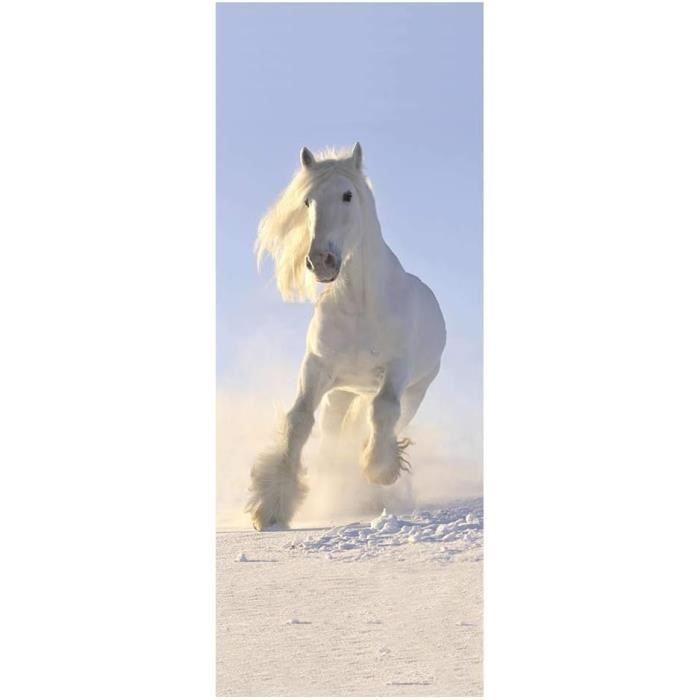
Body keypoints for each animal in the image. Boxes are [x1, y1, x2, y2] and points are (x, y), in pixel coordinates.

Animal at [246, 143, 446, 530]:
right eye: (307, 201)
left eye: (347, 195)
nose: (320, 261)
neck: (359, 305)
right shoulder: (316, 368)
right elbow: (298, 421)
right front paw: (272, 507)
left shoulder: (396, 370)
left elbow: (383, 412)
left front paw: (380, 472)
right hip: (340, 395)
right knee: (333, 434)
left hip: (415, 391)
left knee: (390, 418)